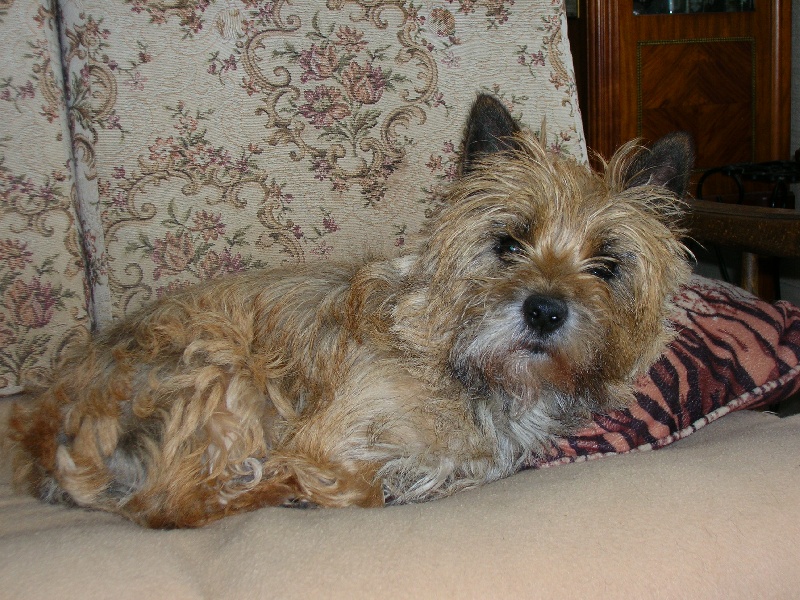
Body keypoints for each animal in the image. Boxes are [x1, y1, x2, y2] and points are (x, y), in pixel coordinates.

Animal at [9, 94, 694, 528]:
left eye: (606, 266)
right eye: (508, 243)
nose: (546, 311)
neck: (471, 372)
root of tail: (50, 425)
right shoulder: (328, 434)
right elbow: (359, 485)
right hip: (223, 368)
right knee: (169, 505)